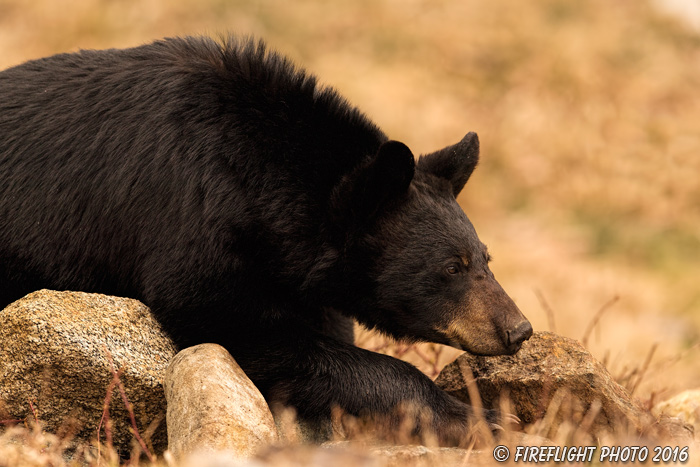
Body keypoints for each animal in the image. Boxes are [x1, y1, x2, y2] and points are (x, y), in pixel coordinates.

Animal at [0, 36, 532, 446]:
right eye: (452, 267)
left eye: (485, 258)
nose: (519, 329)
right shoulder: (189, 222)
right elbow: (238, 324)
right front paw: (487, 419)